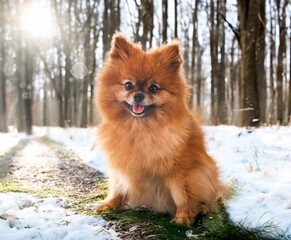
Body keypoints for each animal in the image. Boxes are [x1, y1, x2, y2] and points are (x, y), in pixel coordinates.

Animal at [94, 32, 222, 225]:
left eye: (154, 88)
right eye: (128, 85)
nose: (139, 95)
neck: (140, 129)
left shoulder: (181, 169)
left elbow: (182, 195)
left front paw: (184, 216)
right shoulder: (122, 162)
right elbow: (118, 185)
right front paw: (110, 204)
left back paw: (204, 208)